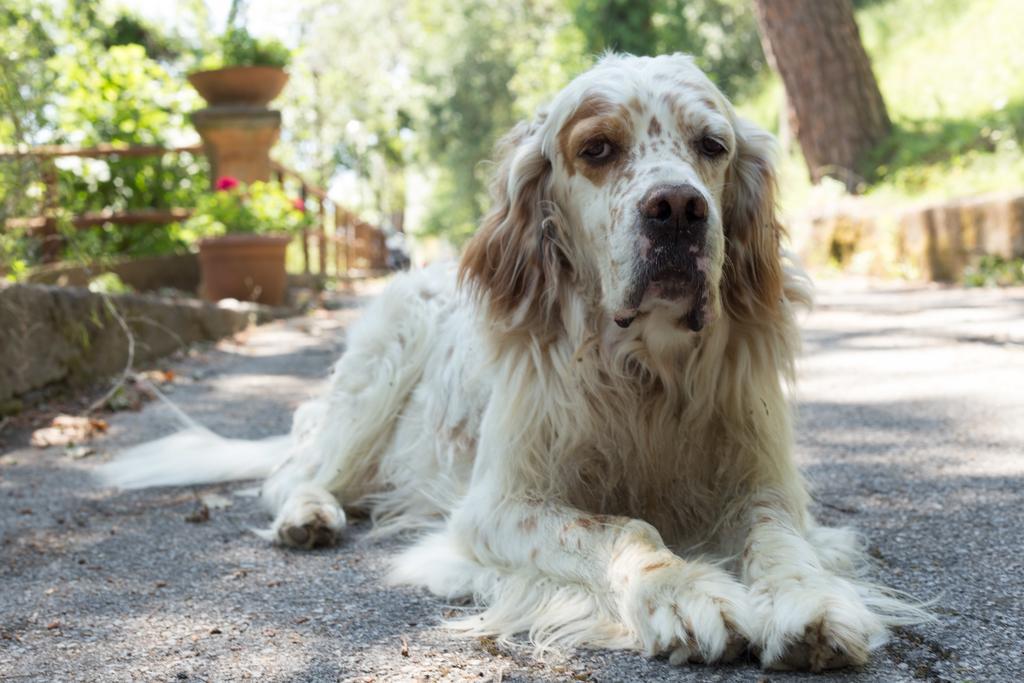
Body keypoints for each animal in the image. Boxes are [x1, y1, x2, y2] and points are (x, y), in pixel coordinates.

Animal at [99, 53, 925, 671]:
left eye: (712, 146)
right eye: (598, 149)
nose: (679, 210)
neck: (644, 371)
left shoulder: (761, 486)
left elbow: (781, 542)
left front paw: (810, 602)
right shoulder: (498, 507)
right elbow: (624, 529)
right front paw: (685, 592)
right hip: (380, 366)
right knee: (294, 473)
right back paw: (310, 513)